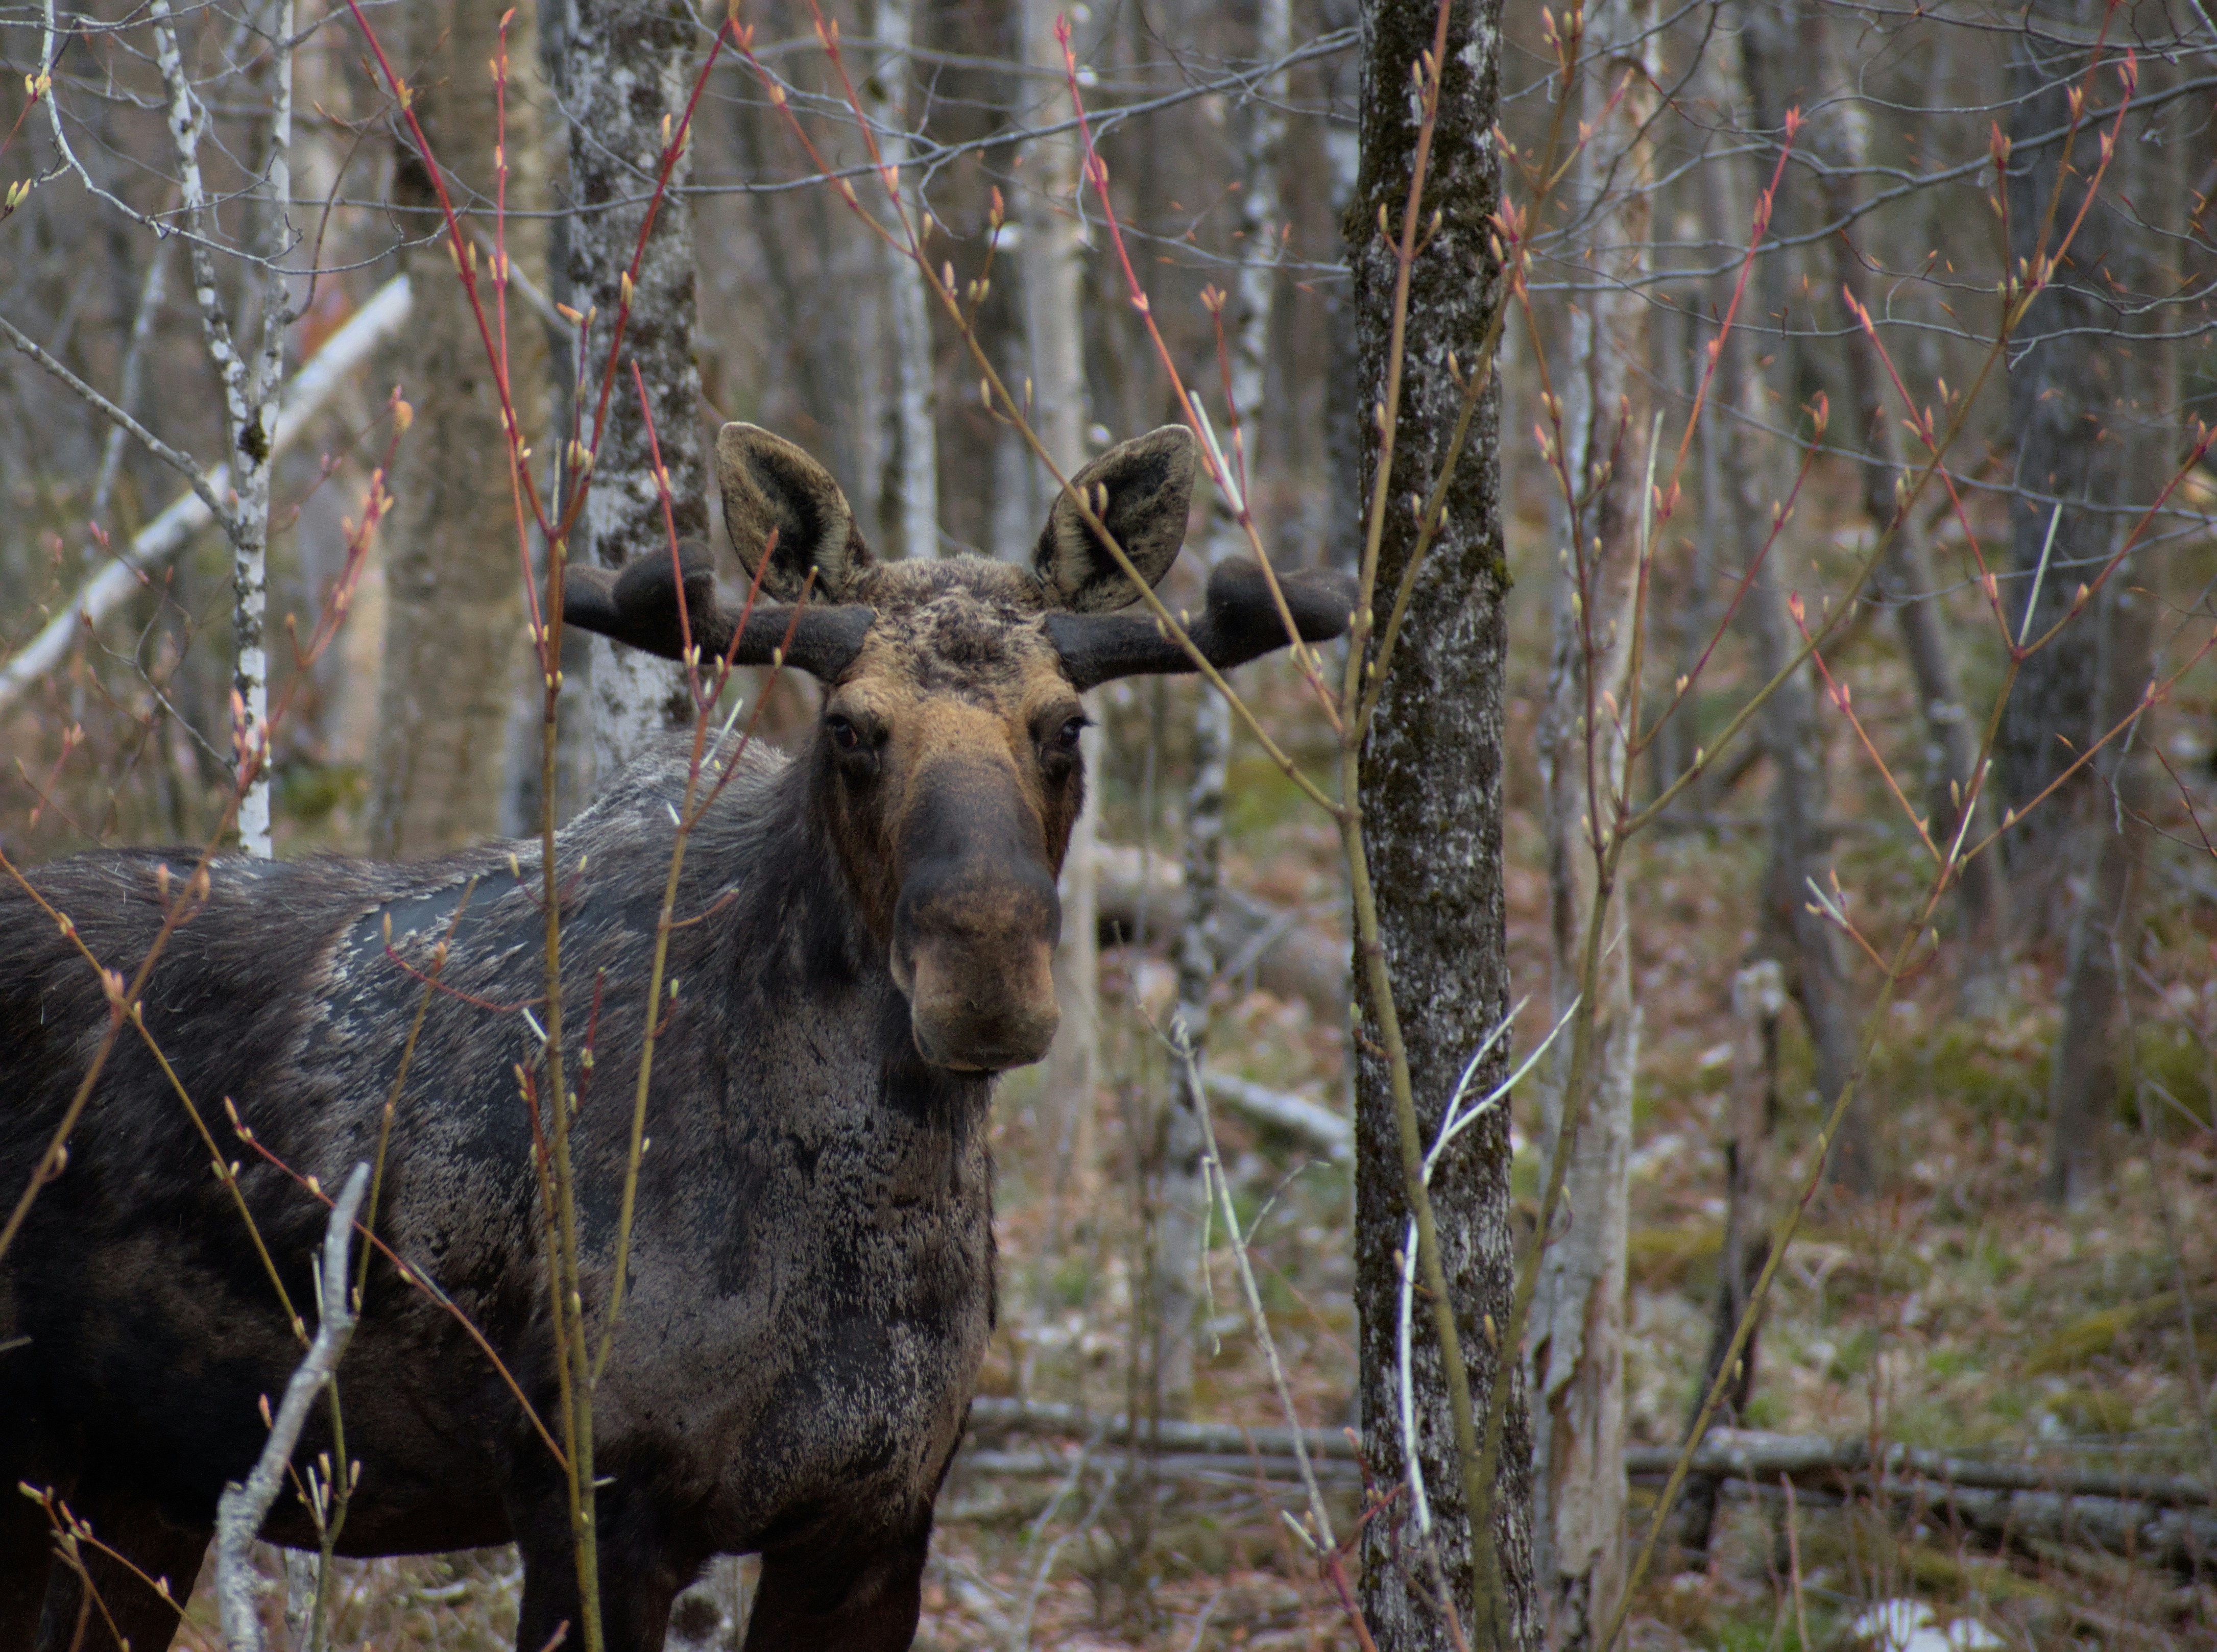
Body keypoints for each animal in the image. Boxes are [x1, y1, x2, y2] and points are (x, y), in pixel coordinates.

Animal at [0, 422, 1354, 1652]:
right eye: (851, 728)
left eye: (1065, 726)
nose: (987, 974)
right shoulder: (593, 1502)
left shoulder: (877, 1520)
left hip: (137, 1494)